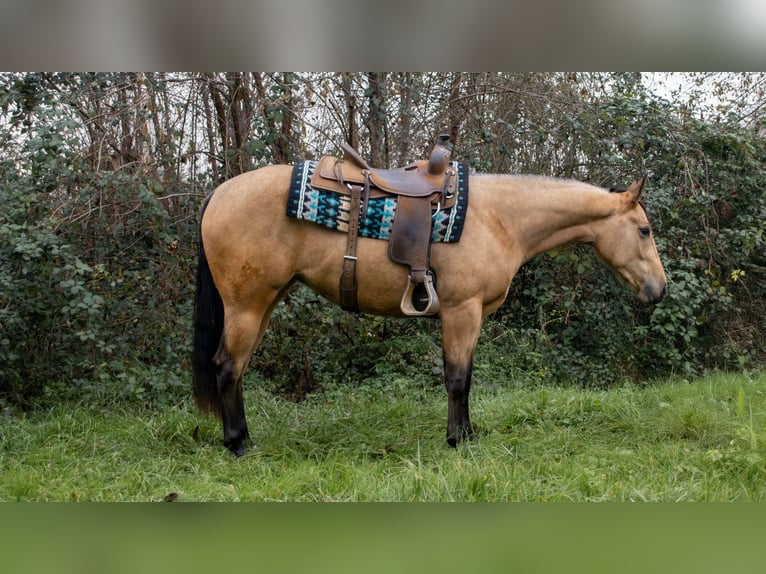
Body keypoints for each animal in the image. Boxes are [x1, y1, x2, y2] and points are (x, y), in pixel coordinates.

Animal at [192, 147, 664, 460]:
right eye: (644, 230)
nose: (659, 289)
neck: (499, 219)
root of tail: (218, 194)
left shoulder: (470, 316)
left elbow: (466, 377)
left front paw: (468, 434)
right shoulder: (461, 310)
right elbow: (456, 379)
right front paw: (457, 441)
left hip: (264, 303)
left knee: (237, 369)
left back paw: (244, 438)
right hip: (247, 307)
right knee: (227, 367)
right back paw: (238, 445)